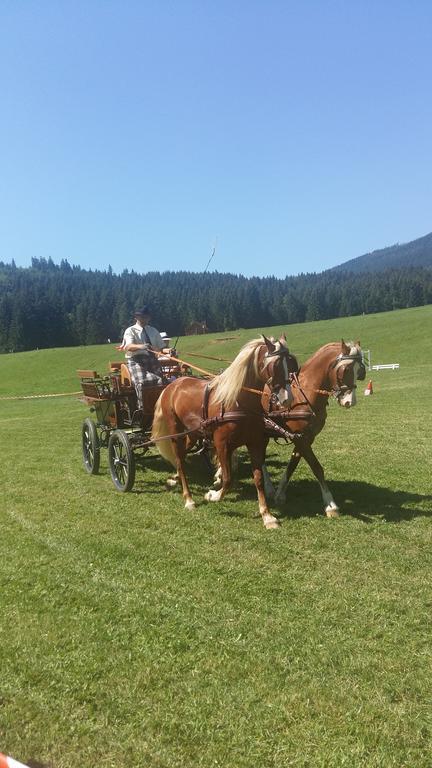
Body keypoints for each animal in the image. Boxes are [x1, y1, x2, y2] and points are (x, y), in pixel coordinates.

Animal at [150, 336, 298, 528]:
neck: (238, 402)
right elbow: (227, 478)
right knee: (181, 462)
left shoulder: (255, 443)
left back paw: (173, 480)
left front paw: (267, 516)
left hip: (192, 433)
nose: (287, 399)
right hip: (176, 433)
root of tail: (172, 385)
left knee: (180, 458)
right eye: (275, 366)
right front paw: (213, 495)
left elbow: (258, 479)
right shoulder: (222, 445)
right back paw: (189, 499)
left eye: (291, 363)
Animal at [264, 340, 366, 516]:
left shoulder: (305, 437)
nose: (350, 402)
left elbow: (292, 465)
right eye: (345, 370)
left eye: (359, 370)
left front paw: (280, 494)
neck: (303, 394)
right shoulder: (301, 438)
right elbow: (317, 467)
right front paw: (331, 504)